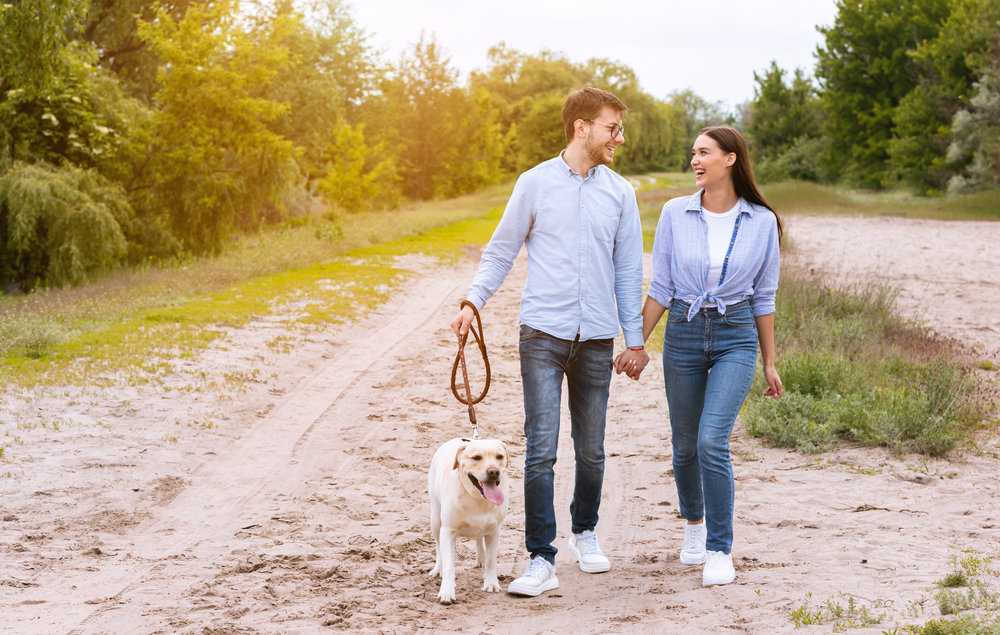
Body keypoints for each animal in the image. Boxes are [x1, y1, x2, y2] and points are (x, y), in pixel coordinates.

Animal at [428, 438, 508, 608]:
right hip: (436, 520)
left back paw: (481, 558)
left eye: (499, 457)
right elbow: (449, 565)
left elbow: (491, 561)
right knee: (439, 549)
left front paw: (491, 583)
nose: (494, 471)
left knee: (479, 540)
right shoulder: (448, 531)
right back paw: (438, 569)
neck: (478, 498)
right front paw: (447, 592)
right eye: (476, 458)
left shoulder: (494, 531)